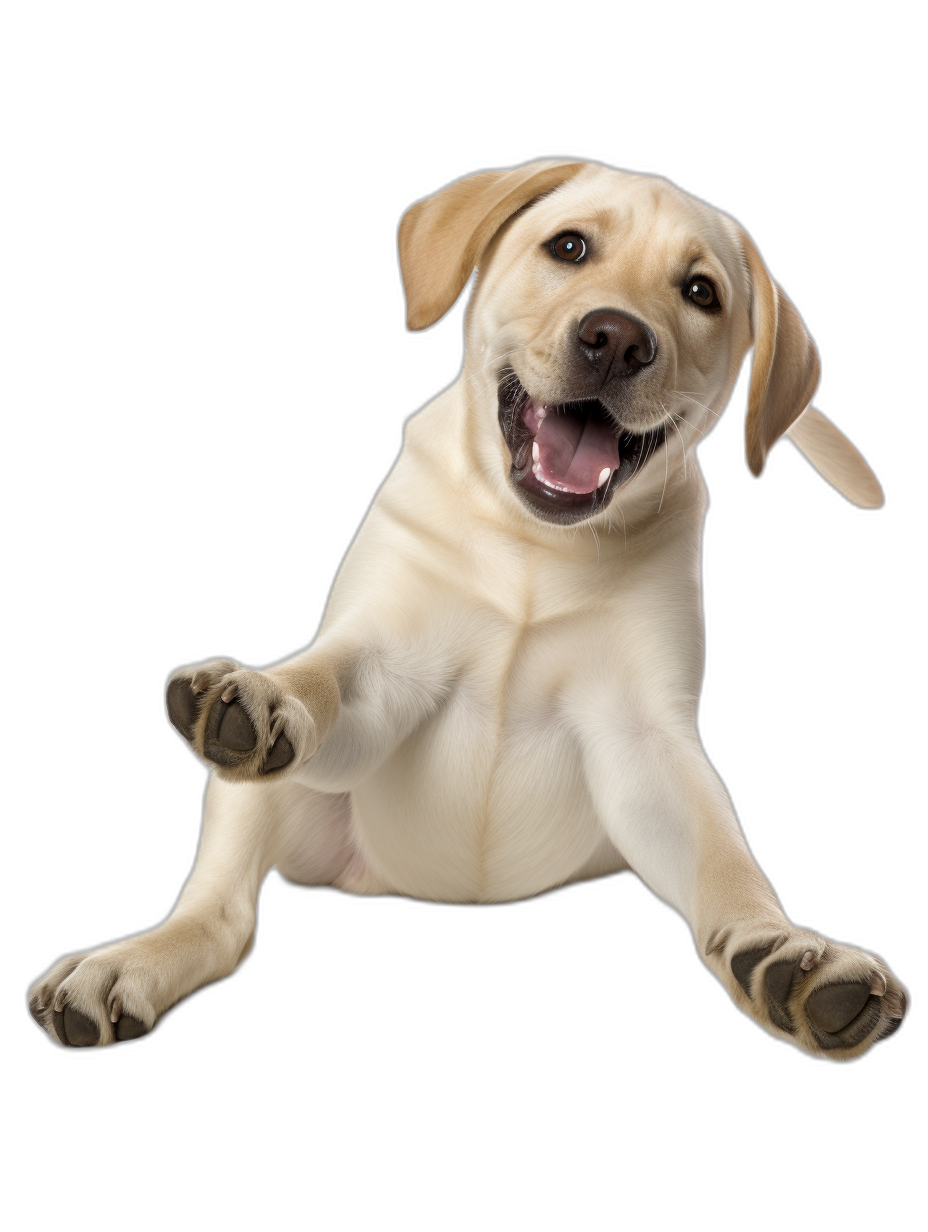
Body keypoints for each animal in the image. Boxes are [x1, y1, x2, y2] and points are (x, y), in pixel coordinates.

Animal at [27, 156, 907, 1059]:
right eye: (569, 246)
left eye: (701, 293)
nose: (617, 338)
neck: (535, 545)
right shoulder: (388, 668)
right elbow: (328, 674)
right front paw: (268, 696)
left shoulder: (643, 740)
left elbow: (721, 861)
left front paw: (784, 951)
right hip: (262, 805)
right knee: (223, 914)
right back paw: (132, 962)